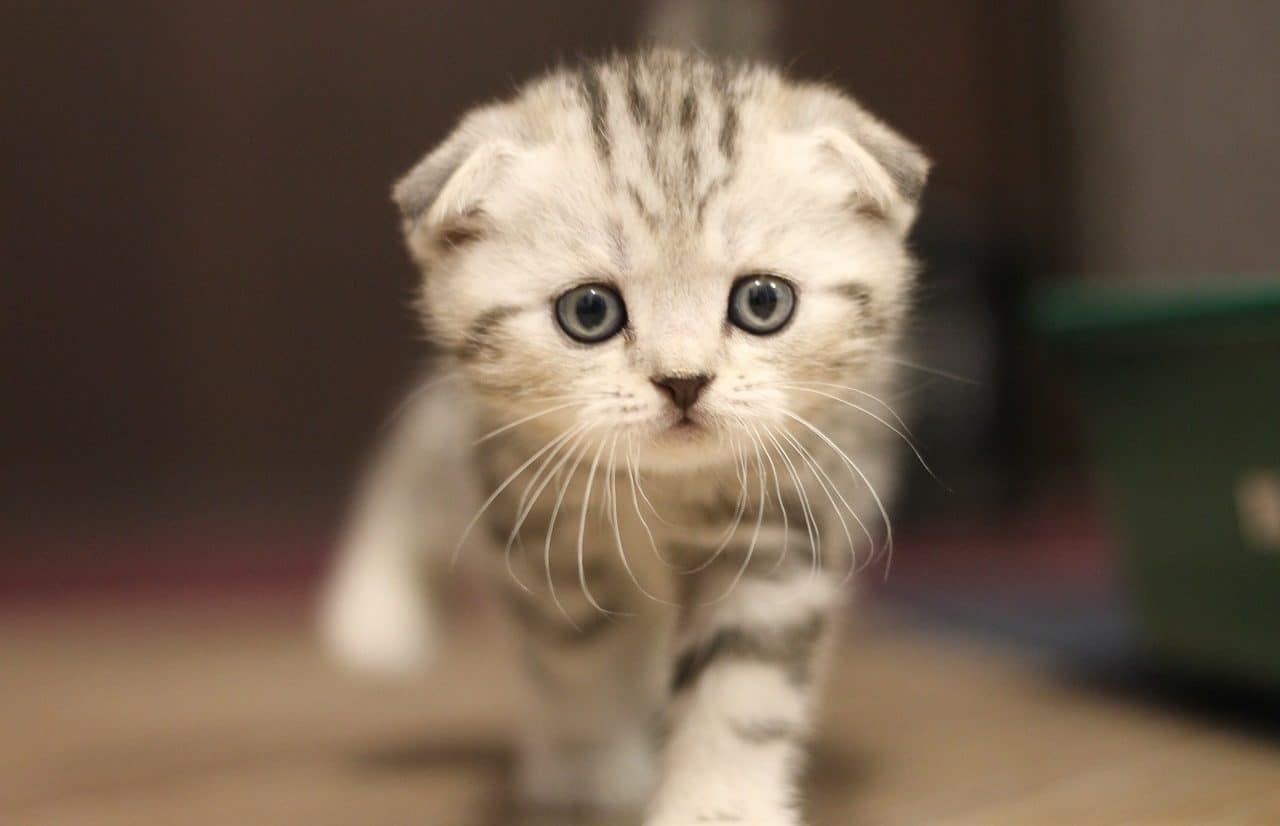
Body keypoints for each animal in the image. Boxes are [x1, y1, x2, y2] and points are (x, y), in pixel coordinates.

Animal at [327, 48, 931, 819]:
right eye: (590, 311)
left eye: (763, 301)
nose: (683, 381)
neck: (664, 493)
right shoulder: (548, 538)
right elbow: (578, 664)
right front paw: (592, 773)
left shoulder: (783, 531)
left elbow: (741, 684)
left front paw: (718, 805)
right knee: (414, 469)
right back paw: (375, 620)